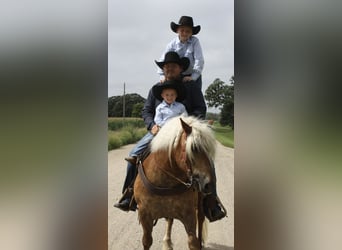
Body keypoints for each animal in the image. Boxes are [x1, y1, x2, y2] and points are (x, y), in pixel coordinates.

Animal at [134, 116, 216, 250]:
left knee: (200, 220)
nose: (209, 185)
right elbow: (147, 241)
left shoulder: (189, 215)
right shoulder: (145, 215)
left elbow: (193, 242)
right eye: (194, 148)